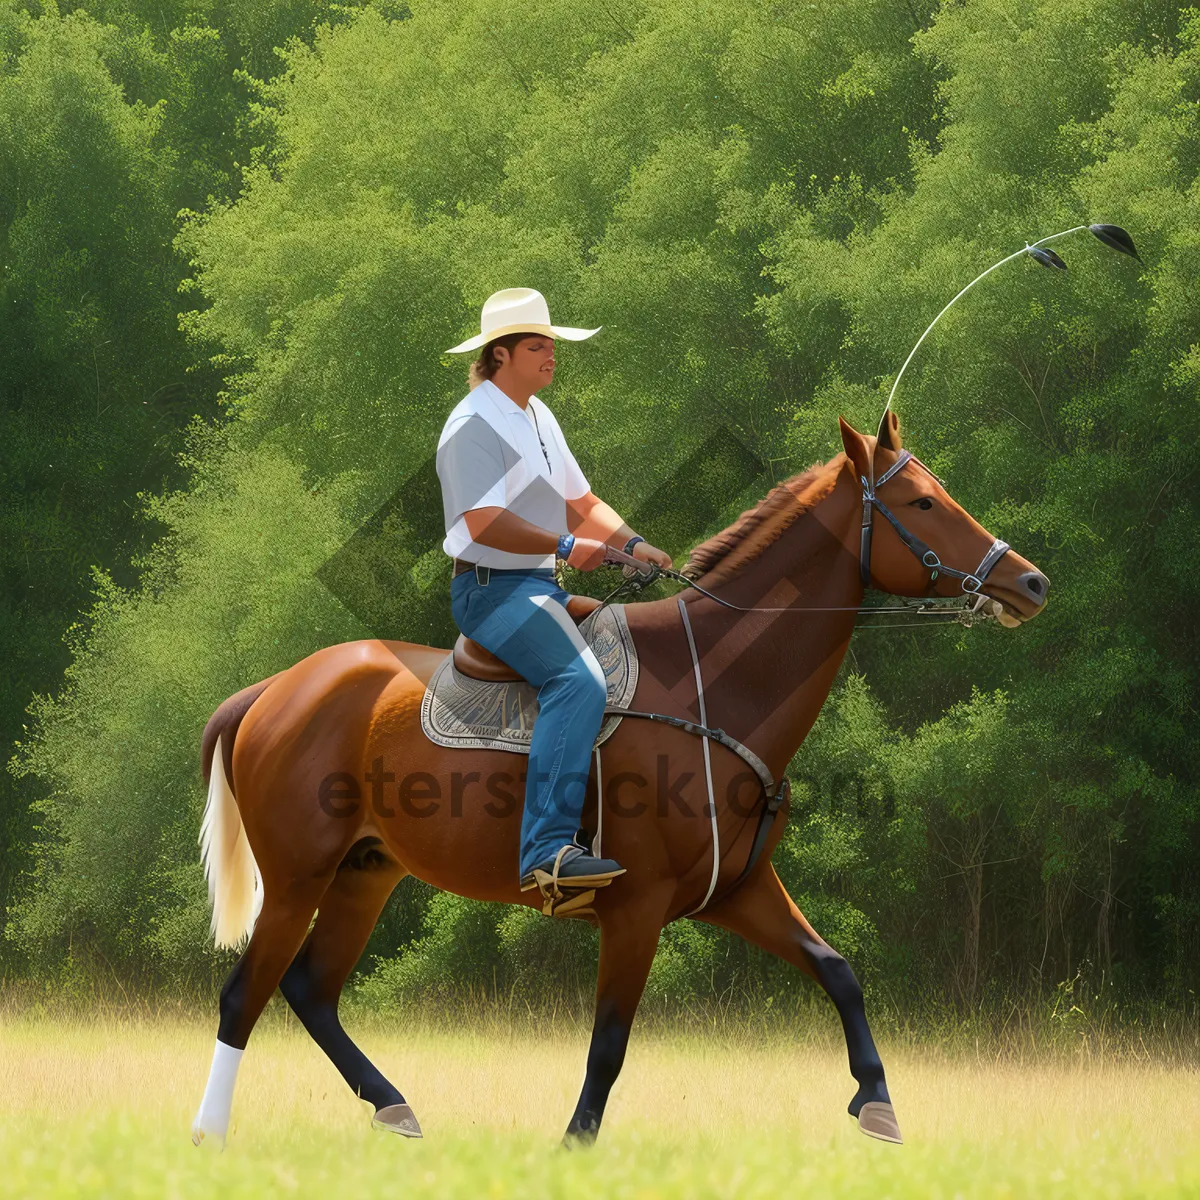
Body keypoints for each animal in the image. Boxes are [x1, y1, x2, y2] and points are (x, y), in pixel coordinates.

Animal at [189, 417, 1051, 1147]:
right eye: (922, 502)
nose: (1032, 582)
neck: (710, 685)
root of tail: (274, 690)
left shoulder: (738, 890)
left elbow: (838, 972)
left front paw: (877, 1102)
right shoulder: (635, 909)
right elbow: (608, 1042)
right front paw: (576, 1143)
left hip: (367, 873)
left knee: (311, 990)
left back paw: (392, 1105)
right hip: (297, 877)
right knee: (245, 994)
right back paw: (210, 1133)